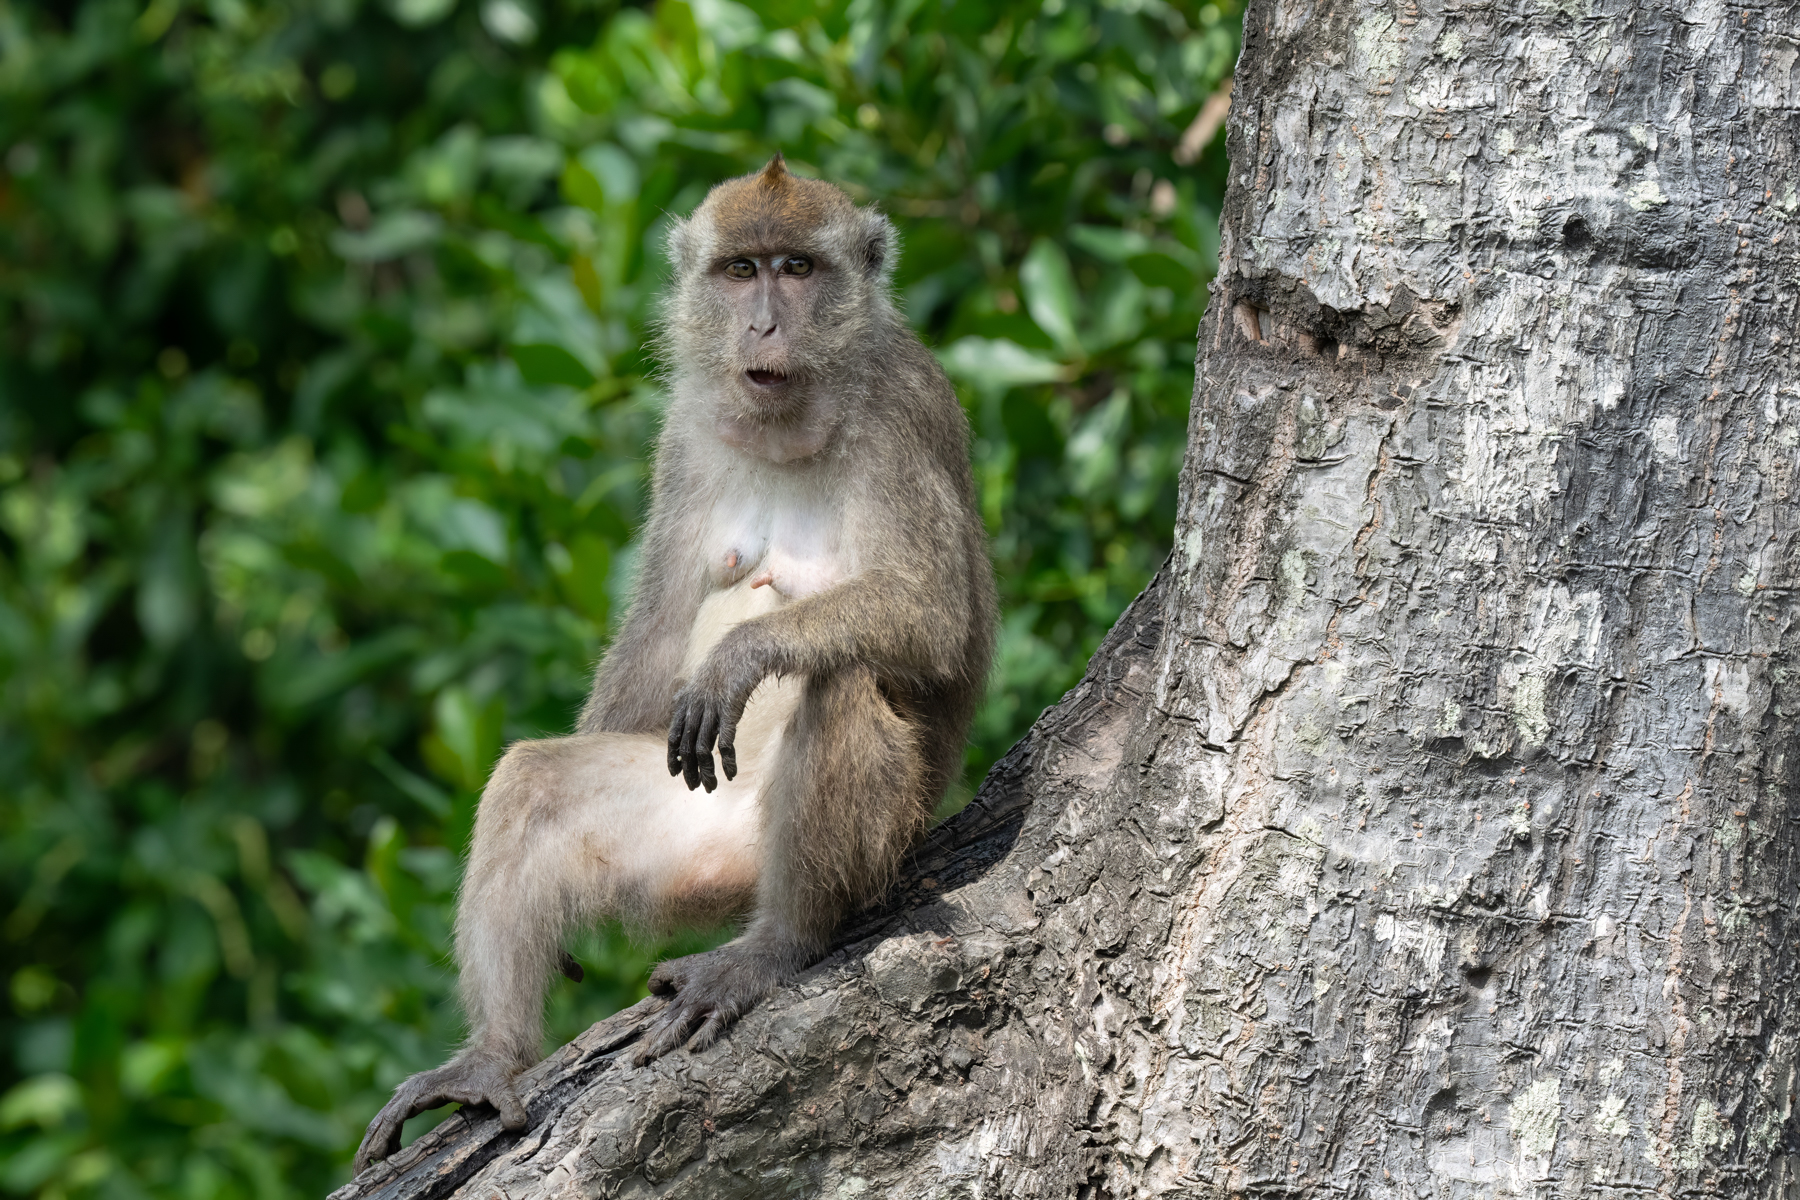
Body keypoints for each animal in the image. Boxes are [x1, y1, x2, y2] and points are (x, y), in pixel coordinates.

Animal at [354, 155, 996, 1173]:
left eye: (797, 269)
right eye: (740, 272)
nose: (763, 324)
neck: (793, 419)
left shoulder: (907, 405)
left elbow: (932, 615)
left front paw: (740, 656)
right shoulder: (686, 434)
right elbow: (658, 625)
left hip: (855, 843)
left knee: (840, 680)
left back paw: (775, 947)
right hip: (681, 839)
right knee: (534, 779)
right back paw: (492, 1058)